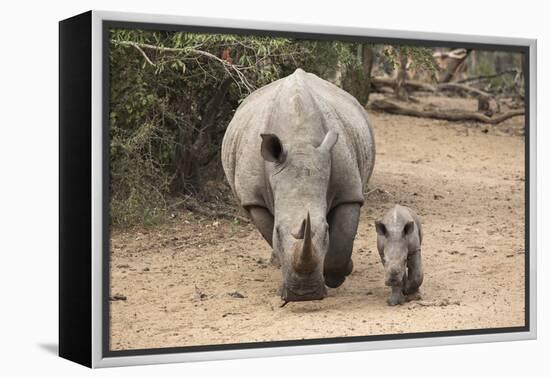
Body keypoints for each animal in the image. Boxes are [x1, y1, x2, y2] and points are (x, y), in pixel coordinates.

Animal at [222, 69, 378, 302]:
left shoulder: (349, 191)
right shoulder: (254, 198)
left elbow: (342, 239)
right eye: (278, 231)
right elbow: (269, 232)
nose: (304, 295)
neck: (299, 144)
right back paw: (275, 263)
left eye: (326, 230)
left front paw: (335, 276)